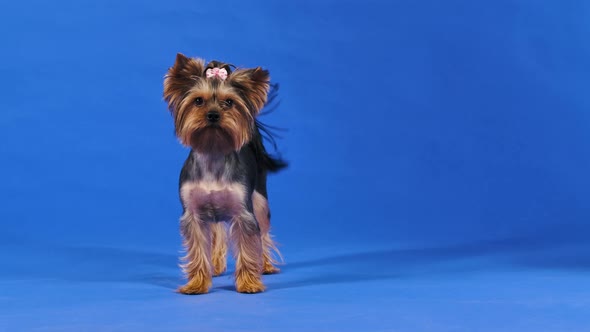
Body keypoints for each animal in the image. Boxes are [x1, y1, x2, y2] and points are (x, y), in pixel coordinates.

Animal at [163, 53, 288, 294]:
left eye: (229, 102)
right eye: (198, 101)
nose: (213, 115)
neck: (213, 151)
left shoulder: (243, 213)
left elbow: (248, 246)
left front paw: (248, 282)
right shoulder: (193, 213)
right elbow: (198, 249)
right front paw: (197, 283)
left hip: (259, 199)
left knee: (263, 233)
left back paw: (266, 265)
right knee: (218, 231)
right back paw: (217, 265)